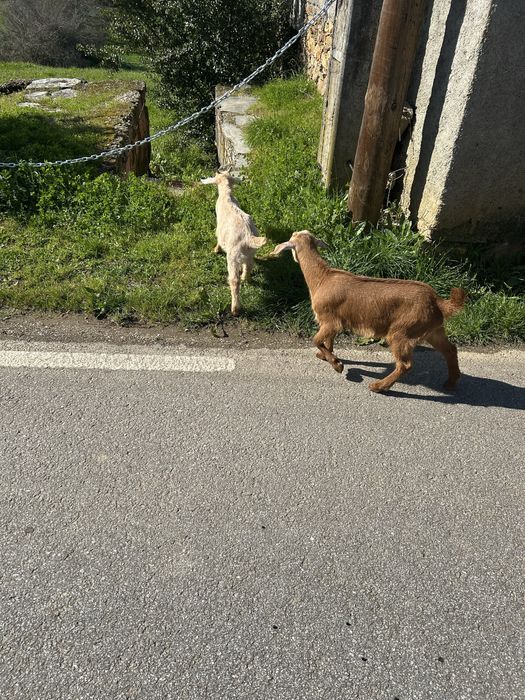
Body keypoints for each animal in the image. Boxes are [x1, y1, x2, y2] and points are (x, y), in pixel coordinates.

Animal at [200, 172, 266, 315]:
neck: (227, 196)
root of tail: (248, 236)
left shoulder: (219, 229)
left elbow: (218, 239)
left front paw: (216, 249)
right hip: (250, 252)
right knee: (249, 265)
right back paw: (245, 278)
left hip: (233, 256)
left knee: (234, 280)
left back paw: (235, 309)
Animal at [272, 230, 466, 393]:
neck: (322, 278)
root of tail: (438, 302)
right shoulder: (333, 322)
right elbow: (328, 341)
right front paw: (325, 356)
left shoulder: (330, 320)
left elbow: (316, 340)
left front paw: (337, 364)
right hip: (432, 330)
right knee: (450, 350)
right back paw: (451, 382)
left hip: (402, 331)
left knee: (405, 364)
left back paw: (379, 386)